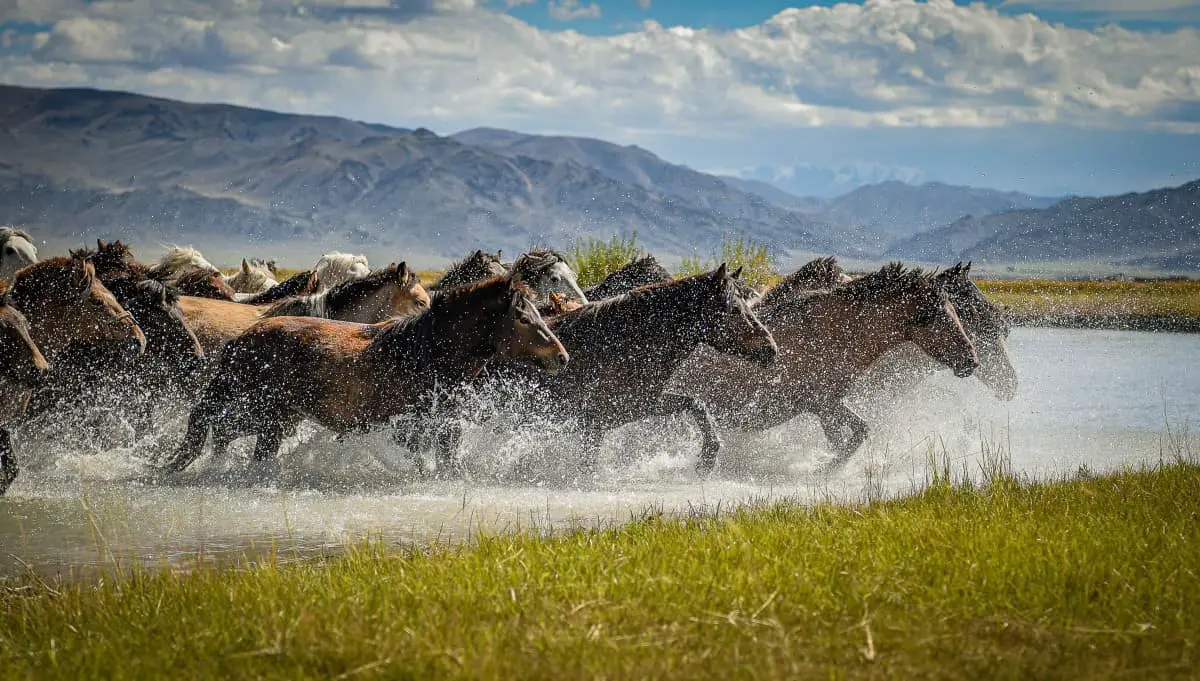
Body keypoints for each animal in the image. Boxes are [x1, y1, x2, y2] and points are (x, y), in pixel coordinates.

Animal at [157, 274, 568, 477]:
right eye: (523, 317)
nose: (562, 358)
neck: (427, 353)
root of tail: (241, 341)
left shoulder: (443, 425)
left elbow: (448, 461)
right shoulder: (415, 427)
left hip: (274, 420)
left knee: (222, 437)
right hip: (261, 416)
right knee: (217, 433)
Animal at [489, 264, 777, 472]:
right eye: (734, 309)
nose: (771, 349)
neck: (623, 345)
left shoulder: (639, 405)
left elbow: (695, 404)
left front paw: (708, 457)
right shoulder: (595, 423)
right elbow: (587, 466)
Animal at [672, 260, 979, 467]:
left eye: (955, 310)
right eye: (936, 315)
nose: (972, 361)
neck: (836, 334)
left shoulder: (828, 403)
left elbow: (859, 432)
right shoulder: (823, 405)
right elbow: (845, 441)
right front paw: (826, 467)